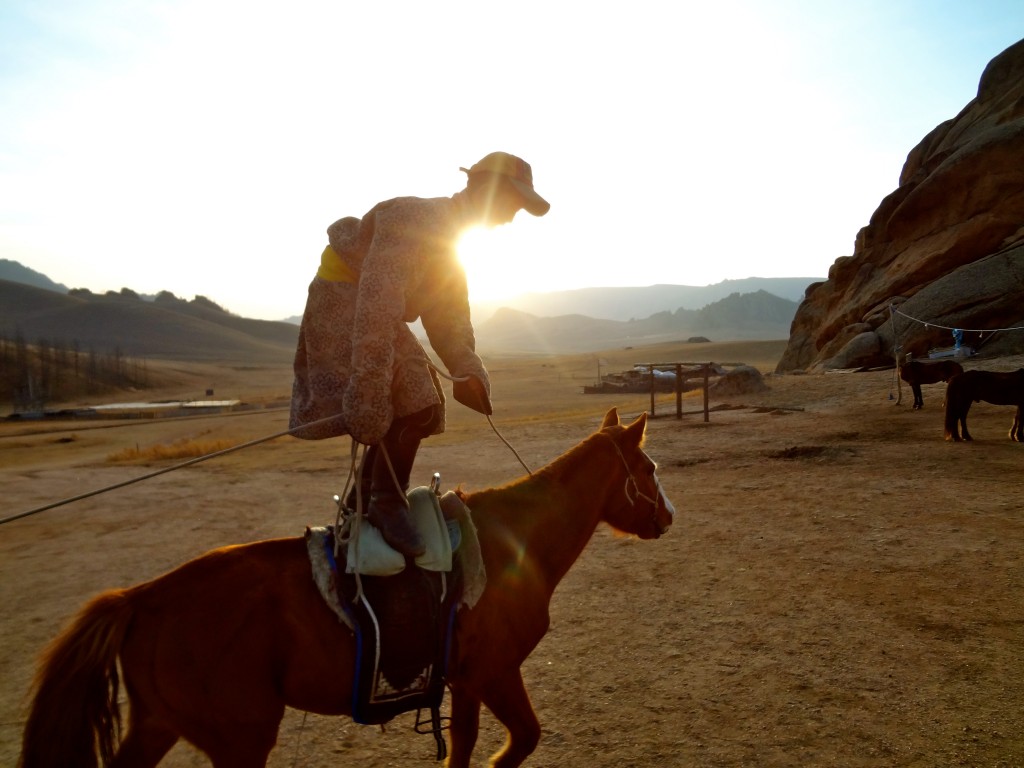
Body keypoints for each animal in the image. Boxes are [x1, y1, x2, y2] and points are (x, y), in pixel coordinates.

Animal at [19, 409, 675, 768]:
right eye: (648, 470)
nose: (667, 518)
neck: (514, 542)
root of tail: (142, 599)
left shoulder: (466, 680)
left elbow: (464, 747)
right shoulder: (497, 672)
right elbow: (520, 741)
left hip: (159, 723)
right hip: (240, 737)